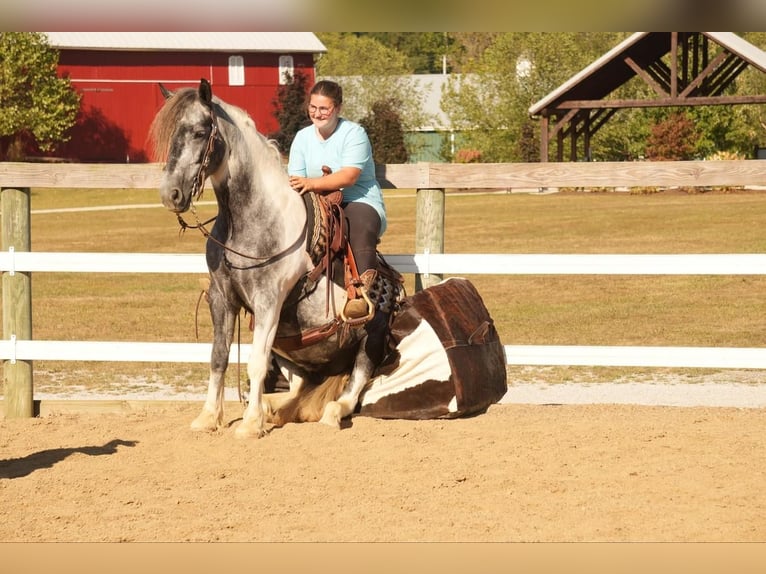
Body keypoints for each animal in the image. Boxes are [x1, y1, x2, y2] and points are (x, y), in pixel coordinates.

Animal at [147, 79, 404, 438]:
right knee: (298, 390)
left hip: (371, 339)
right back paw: (273, 409)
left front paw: (250, 425)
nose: (170, 195)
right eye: (172, 135)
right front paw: (209, 417)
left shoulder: (268, 300)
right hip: (292, 352)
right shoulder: (222, 298)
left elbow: (255, 362)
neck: (250, 219)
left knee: (353, 387)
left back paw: (327, 412)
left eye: (199, 131)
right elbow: (218, 357)